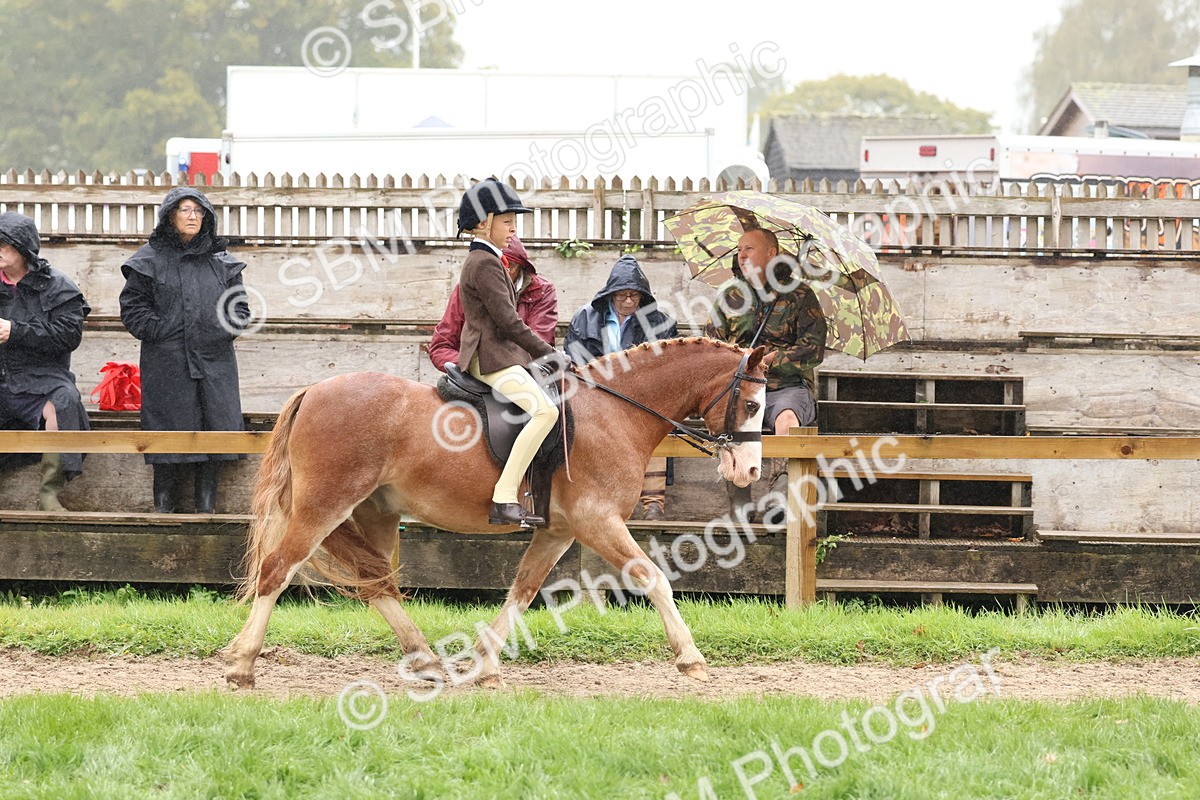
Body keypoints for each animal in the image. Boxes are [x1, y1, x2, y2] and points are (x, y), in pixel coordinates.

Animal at [223, 337, 769, 689]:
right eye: (751, 403)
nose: (750, 469)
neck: (615, 413)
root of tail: (314, 390)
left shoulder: (559, 531)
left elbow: (523, 591)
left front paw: (485, 666)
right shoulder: (597, 521)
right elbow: (653, 578)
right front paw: (691, 659)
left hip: (374, 513)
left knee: (377, 586)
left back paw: (425, 660)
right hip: (324, 506)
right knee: (277, 571)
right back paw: (242, 665)